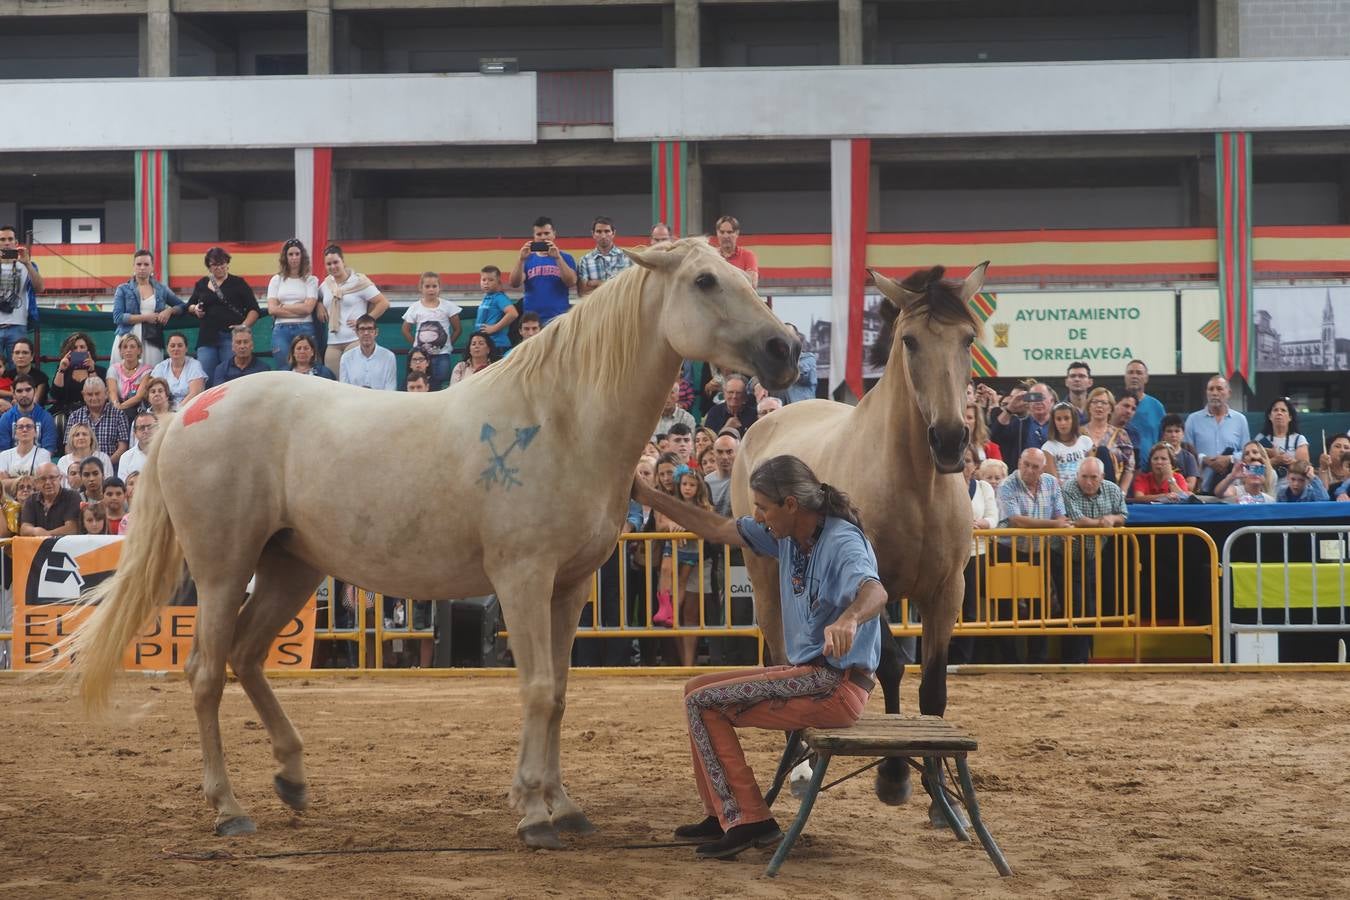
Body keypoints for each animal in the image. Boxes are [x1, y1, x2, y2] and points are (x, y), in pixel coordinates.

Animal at [65, 236, 799, 847]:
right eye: (705, 280)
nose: (784, 350)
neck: (561, 419)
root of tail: (190, 409)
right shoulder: (523, 578)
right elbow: (538, 688)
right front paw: (533, 813)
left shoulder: (570, 587)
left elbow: (561, 693)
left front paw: (560, 804)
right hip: (223, 572)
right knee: (206, 672)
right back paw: (228, 808)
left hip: (291, 568)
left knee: (246, 658)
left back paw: (293, 779)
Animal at [734, 261, 988, 814]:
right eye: (910, 341)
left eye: (968, 338)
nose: (950, 439)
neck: (916, 483)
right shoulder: (873, 583)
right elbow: (890, 666)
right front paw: (893, 776)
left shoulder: (947, 591)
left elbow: (933, 688)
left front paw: (941, 795)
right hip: (766, 582)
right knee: (783, 656)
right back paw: (800, 768)